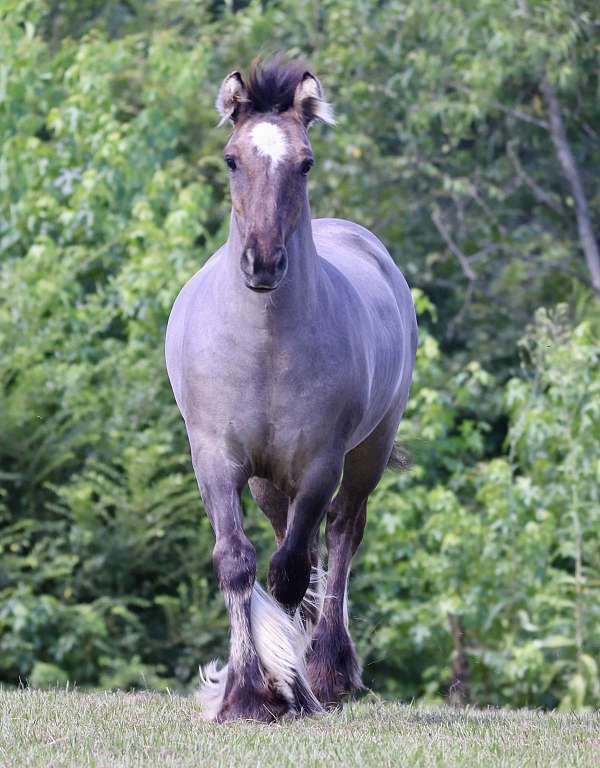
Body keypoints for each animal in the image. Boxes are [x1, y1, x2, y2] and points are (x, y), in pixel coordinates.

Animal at [164, 57, 418, 724]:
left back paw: (329, 670)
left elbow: (291, 573)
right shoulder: (217, 459)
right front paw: (246, 693)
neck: (265, 348)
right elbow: (237, 562)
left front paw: (290, 689)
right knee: (286, 542)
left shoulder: (320, 464)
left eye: (304, 162)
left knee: (340, 537)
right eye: (232, 159)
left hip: (364, 456)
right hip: (266, 479)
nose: (262, 263)